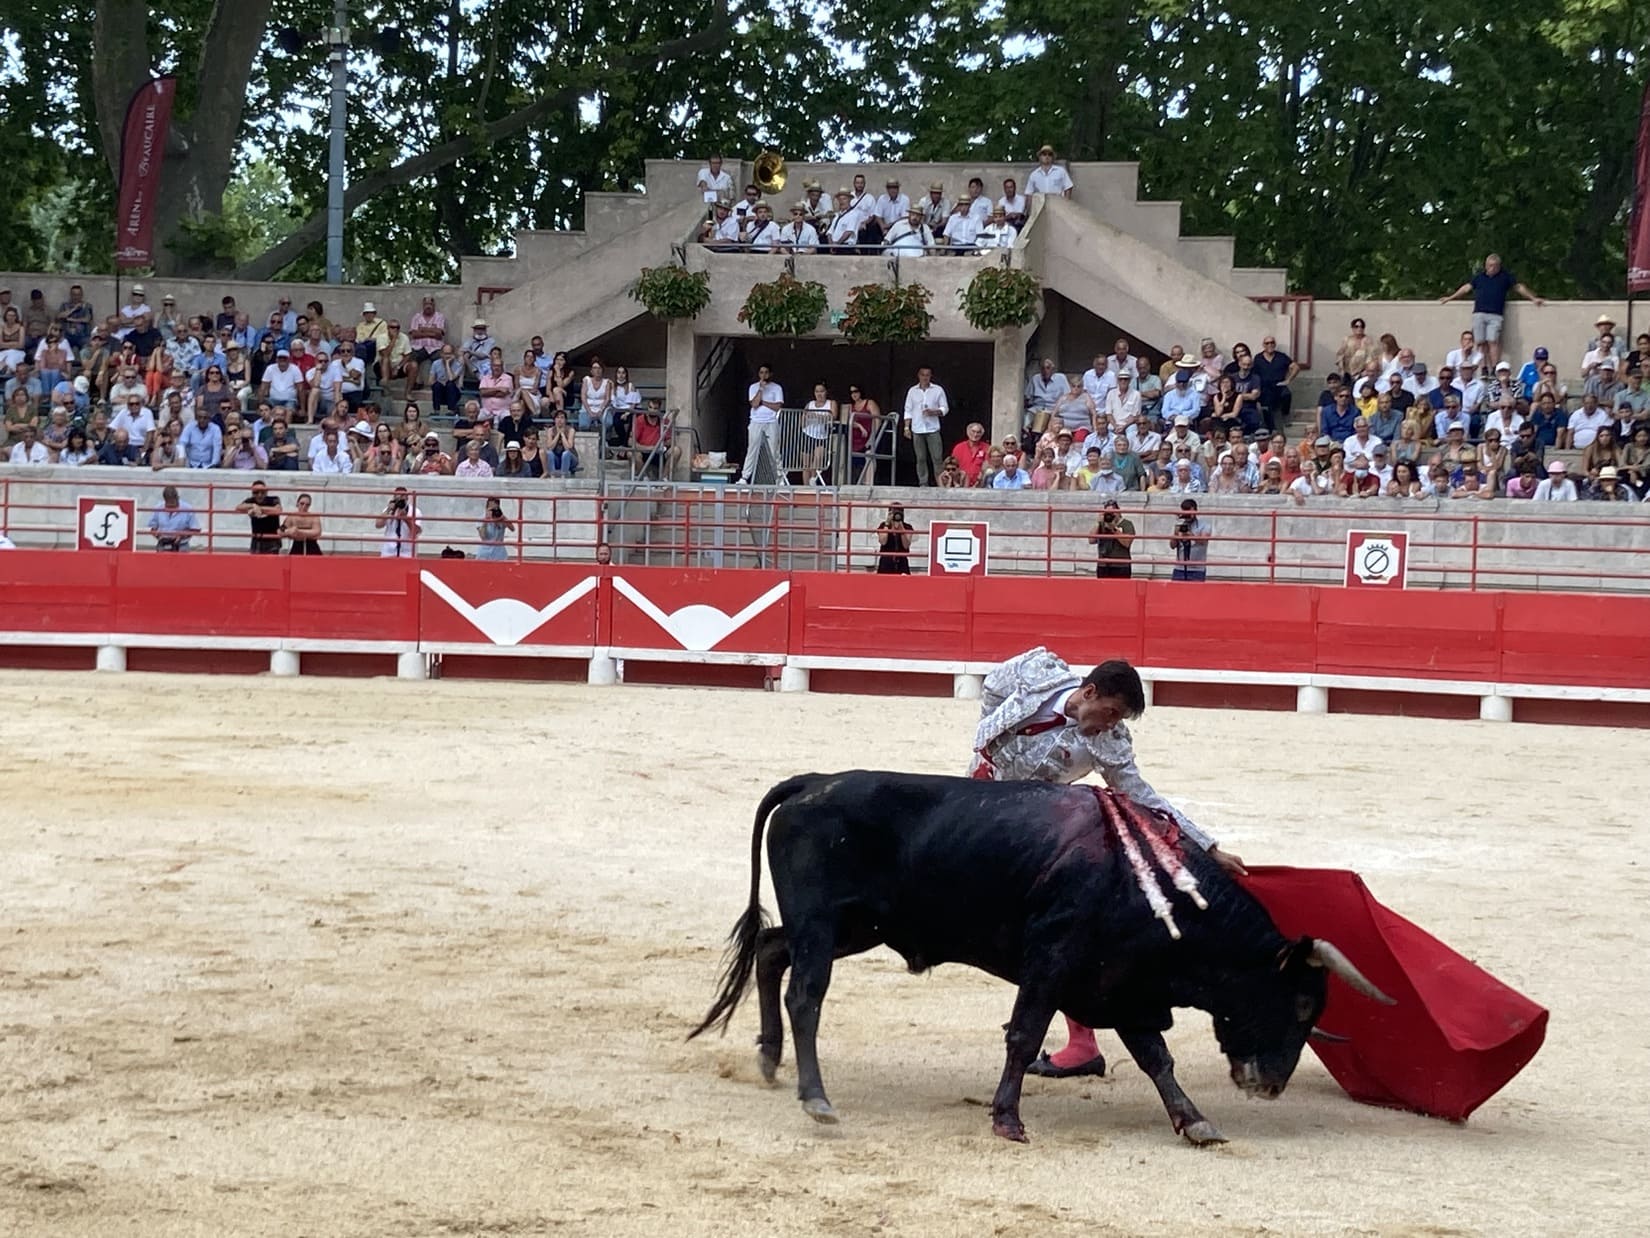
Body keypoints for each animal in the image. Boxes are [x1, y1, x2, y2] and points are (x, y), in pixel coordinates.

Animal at [686, 772, 1392, 1148]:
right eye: (1299, 1003)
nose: (1270, 1084)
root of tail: (813, 783)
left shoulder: (1123, 985)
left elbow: (1157, 1059)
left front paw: (1195, 1122)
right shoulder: (1051, 963)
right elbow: (1024, 1036)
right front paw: (1007, 1119)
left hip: (852, 927)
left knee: (770, 952)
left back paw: (769, 1060)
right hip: (825, 924)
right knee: (805, 993)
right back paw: (816, 1097)